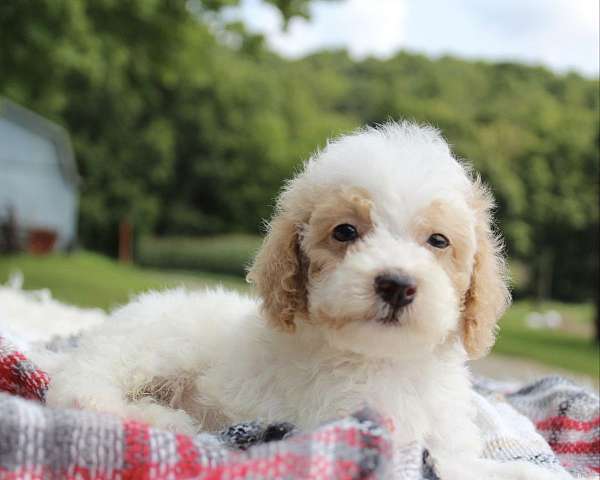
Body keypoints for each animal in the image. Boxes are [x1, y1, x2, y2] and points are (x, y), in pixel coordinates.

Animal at [39, 124, 564, 480]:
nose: (396, 284)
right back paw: (165, 419)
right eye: (345, 232)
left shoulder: (444, 439)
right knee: (80, 392)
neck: (386, 361)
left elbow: (476, 463)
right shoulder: (371, 434)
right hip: (151, 349)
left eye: (438, 241)